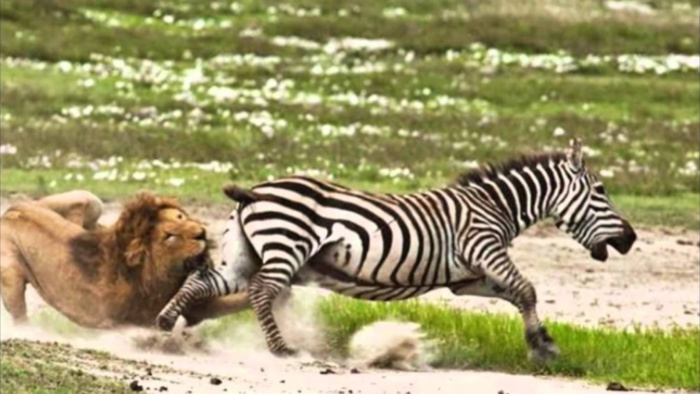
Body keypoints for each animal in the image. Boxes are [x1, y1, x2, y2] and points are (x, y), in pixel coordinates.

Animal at [0, 191, 247, 330]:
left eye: (181, 217)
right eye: (170, 235)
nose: (201, 233)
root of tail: (10, 211)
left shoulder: (198, 307)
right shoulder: (129, 320)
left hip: (88, 200)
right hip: (10, 274)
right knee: (19, 312)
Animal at [156, 139, 636, 364]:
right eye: (601, 191)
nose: (631, 239)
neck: (495, 205)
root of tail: (257, 190)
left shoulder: (468, 280)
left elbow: (517, 296)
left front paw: (542, 342)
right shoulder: (485, 248)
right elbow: (528, 289)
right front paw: (541, 346)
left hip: (244, 254)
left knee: (204, 279)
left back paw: (164, 324)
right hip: (286, 247)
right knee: (261, 292)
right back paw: (282, 349)